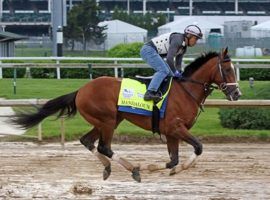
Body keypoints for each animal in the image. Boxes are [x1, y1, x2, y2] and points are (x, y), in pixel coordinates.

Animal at [13, 47, 240, 182]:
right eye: (228, 69)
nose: (237, 94)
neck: (186, 91)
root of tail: (81, 90)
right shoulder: (176, 127)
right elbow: (198, 147)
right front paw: (150, 167)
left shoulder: (172, 132)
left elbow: (174, 160)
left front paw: (168, 169)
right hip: (107, 120)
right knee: (104, 147)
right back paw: (134, 169)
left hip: (109, 121)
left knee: (87, 141)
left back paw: (110, 168)